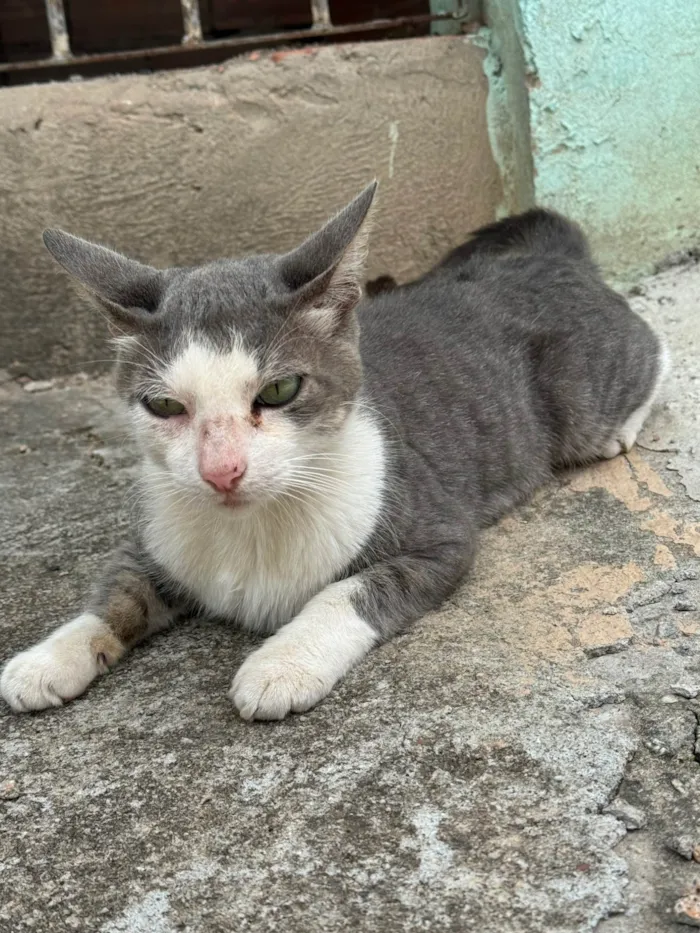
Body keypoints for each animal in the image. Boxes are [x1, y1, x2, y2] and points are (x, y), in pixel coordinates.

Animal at [0, 184, 668, 720]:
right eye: (164, 406)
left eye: (279, 390)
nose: (221, 471)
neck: (253, 527)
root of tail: (544, 255)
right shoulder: (158, 535)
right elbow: (120, 589)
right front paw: (48, 657)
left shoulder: (438, 535)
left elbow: (350, 591)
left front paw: (282, 664)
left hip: (582, 393)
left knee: (653, 350)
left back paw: (622, 426)